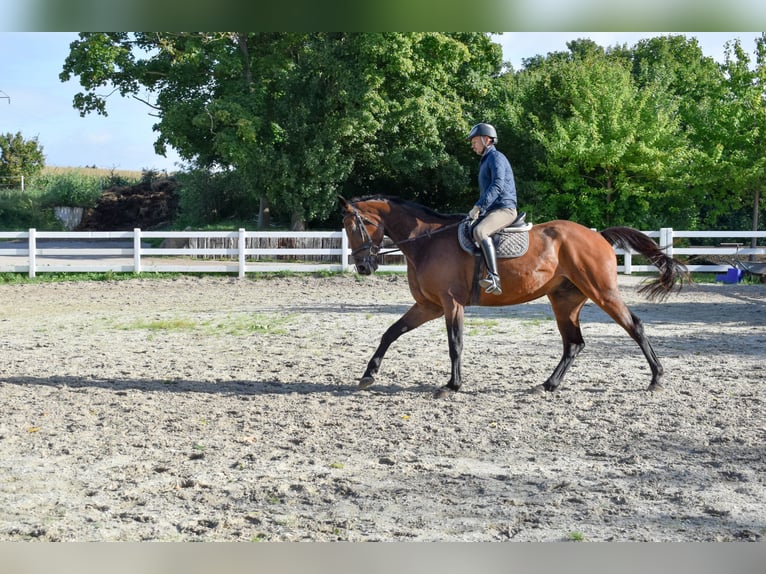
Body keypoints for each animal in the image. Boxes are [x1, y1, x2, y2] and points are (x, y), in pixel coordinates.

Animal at [339, 195, 690, 398]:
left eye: (357, 225)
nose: (363, 266)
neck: (425, 241)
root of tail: (597, 235)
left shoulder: (450, 304)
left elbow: (455, 344)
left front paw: (452, 386)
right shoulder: (429, 305)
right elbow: (390, 332)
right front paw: (368, 375)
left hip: (603, 293)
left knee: (635, 326)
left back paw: (656, 379)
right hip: (564, 301)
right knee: (574, 344)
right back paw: (548, 385)